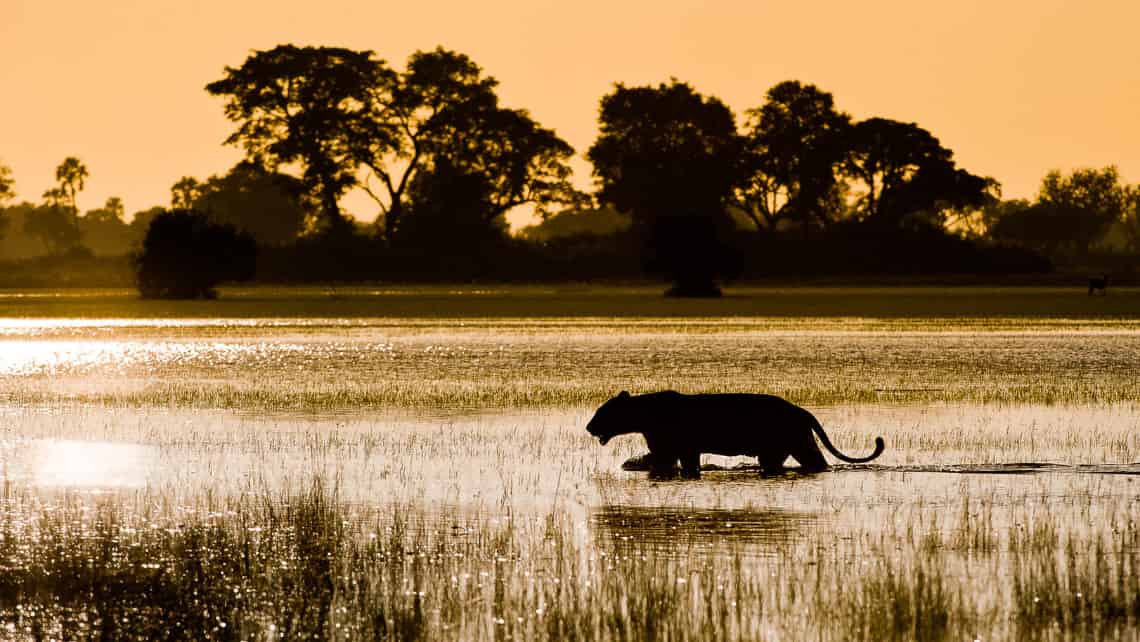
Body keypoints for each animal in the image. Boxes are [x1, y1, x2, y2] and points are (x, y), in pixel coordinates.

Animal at [583, 392, 884, 476]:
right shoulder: (668, 450)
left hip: (792, 443)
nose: (588, 426)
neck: (643, 416)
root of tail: (800, 409)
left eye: (601, 411)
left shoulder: (683, 449)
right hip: (783, 448)